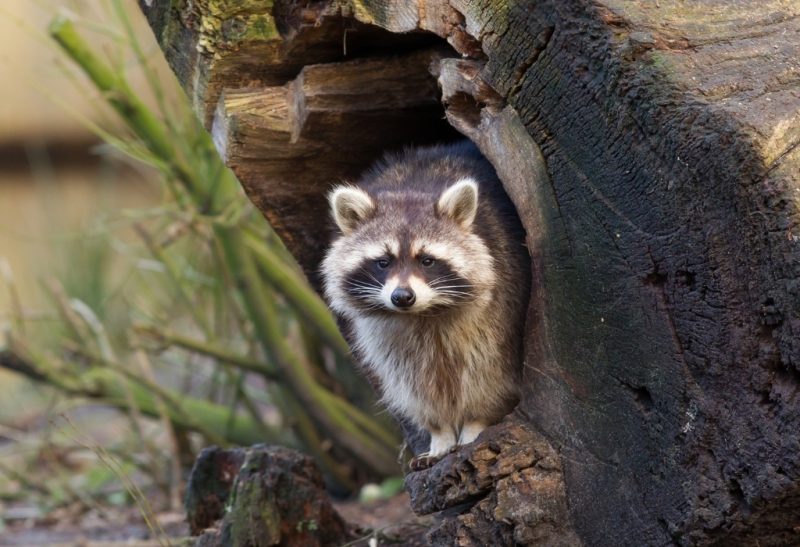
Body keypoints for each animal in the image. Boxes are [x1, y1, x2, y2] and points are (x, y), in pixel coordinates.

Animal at [322, 141, 530, 463]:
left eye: (427, 260)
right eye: (383, 262)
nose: (402, 297)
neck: (424, 314)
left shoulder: (501, 302)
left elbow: (489, 369)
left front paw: (476, 422)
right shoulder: (388, 334)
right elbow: (412, 381)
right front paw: (439, 432)